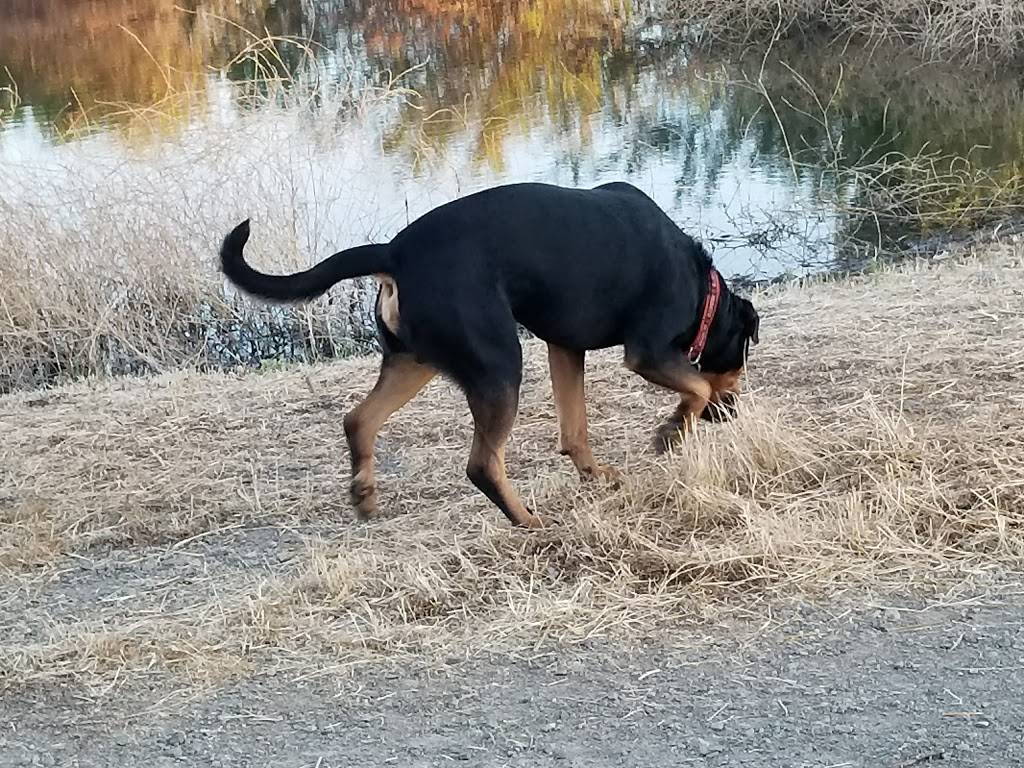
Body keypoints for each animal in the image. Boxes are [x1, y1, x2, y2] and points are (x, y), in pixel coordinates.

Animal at [218, 182, 761, 528]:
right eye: (740, 362)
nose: (733, 415)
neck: (703, 290)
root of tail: (394, 252)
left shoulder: (565, 347)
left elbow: (575, 429)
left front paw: (597, 474)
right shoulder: (646, 353)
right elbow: (696, 384)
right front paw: (671, 432)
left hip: (416, 360)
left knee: (359, 420)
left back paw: (365, 496)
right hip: (499, 365)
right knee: (481, 464)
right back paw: (527, 521)